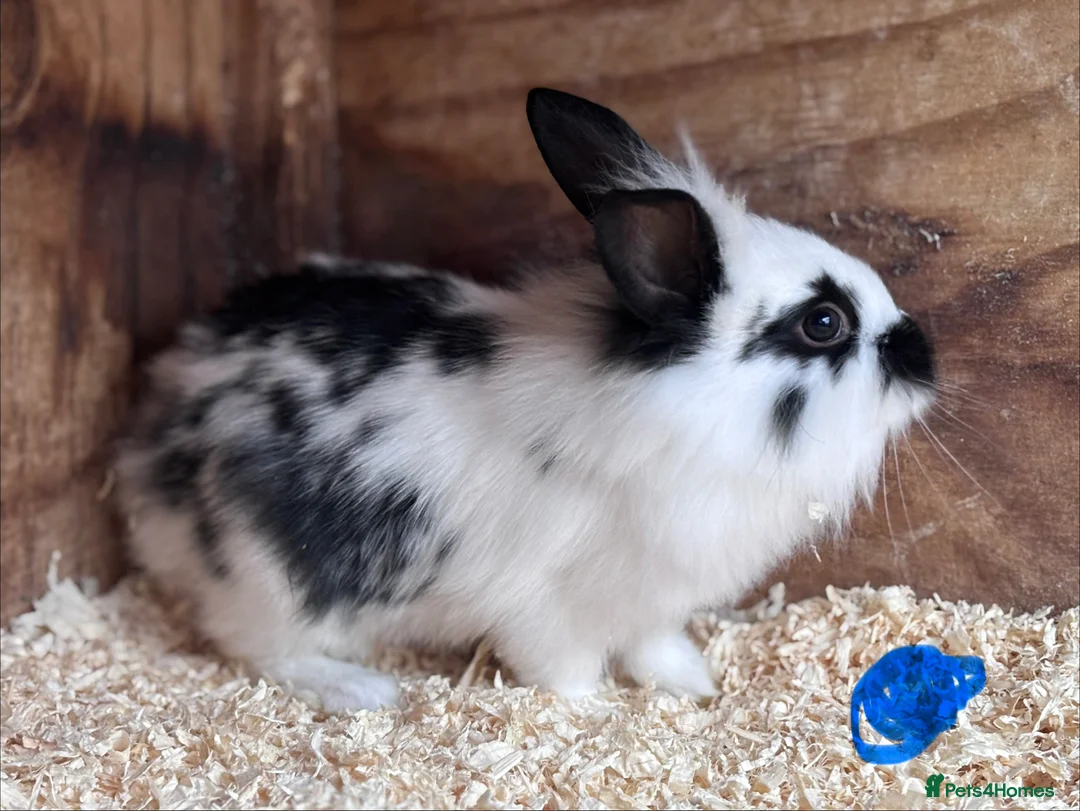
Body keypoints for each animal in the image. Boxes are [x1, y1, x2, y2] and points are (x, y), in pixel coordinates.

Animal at [114, 88, 937, 713]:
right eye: (823, 323)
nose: (923, 356)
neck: (682, 412)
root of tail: (157, 428)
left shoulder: (652, 601)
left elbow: (655, 646)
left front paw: (696, 687)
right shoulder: (550, 604)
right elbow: (562, 668)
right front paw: (598, 713)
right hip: (269, 575)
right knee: (256, 645)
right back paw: (362, 690)